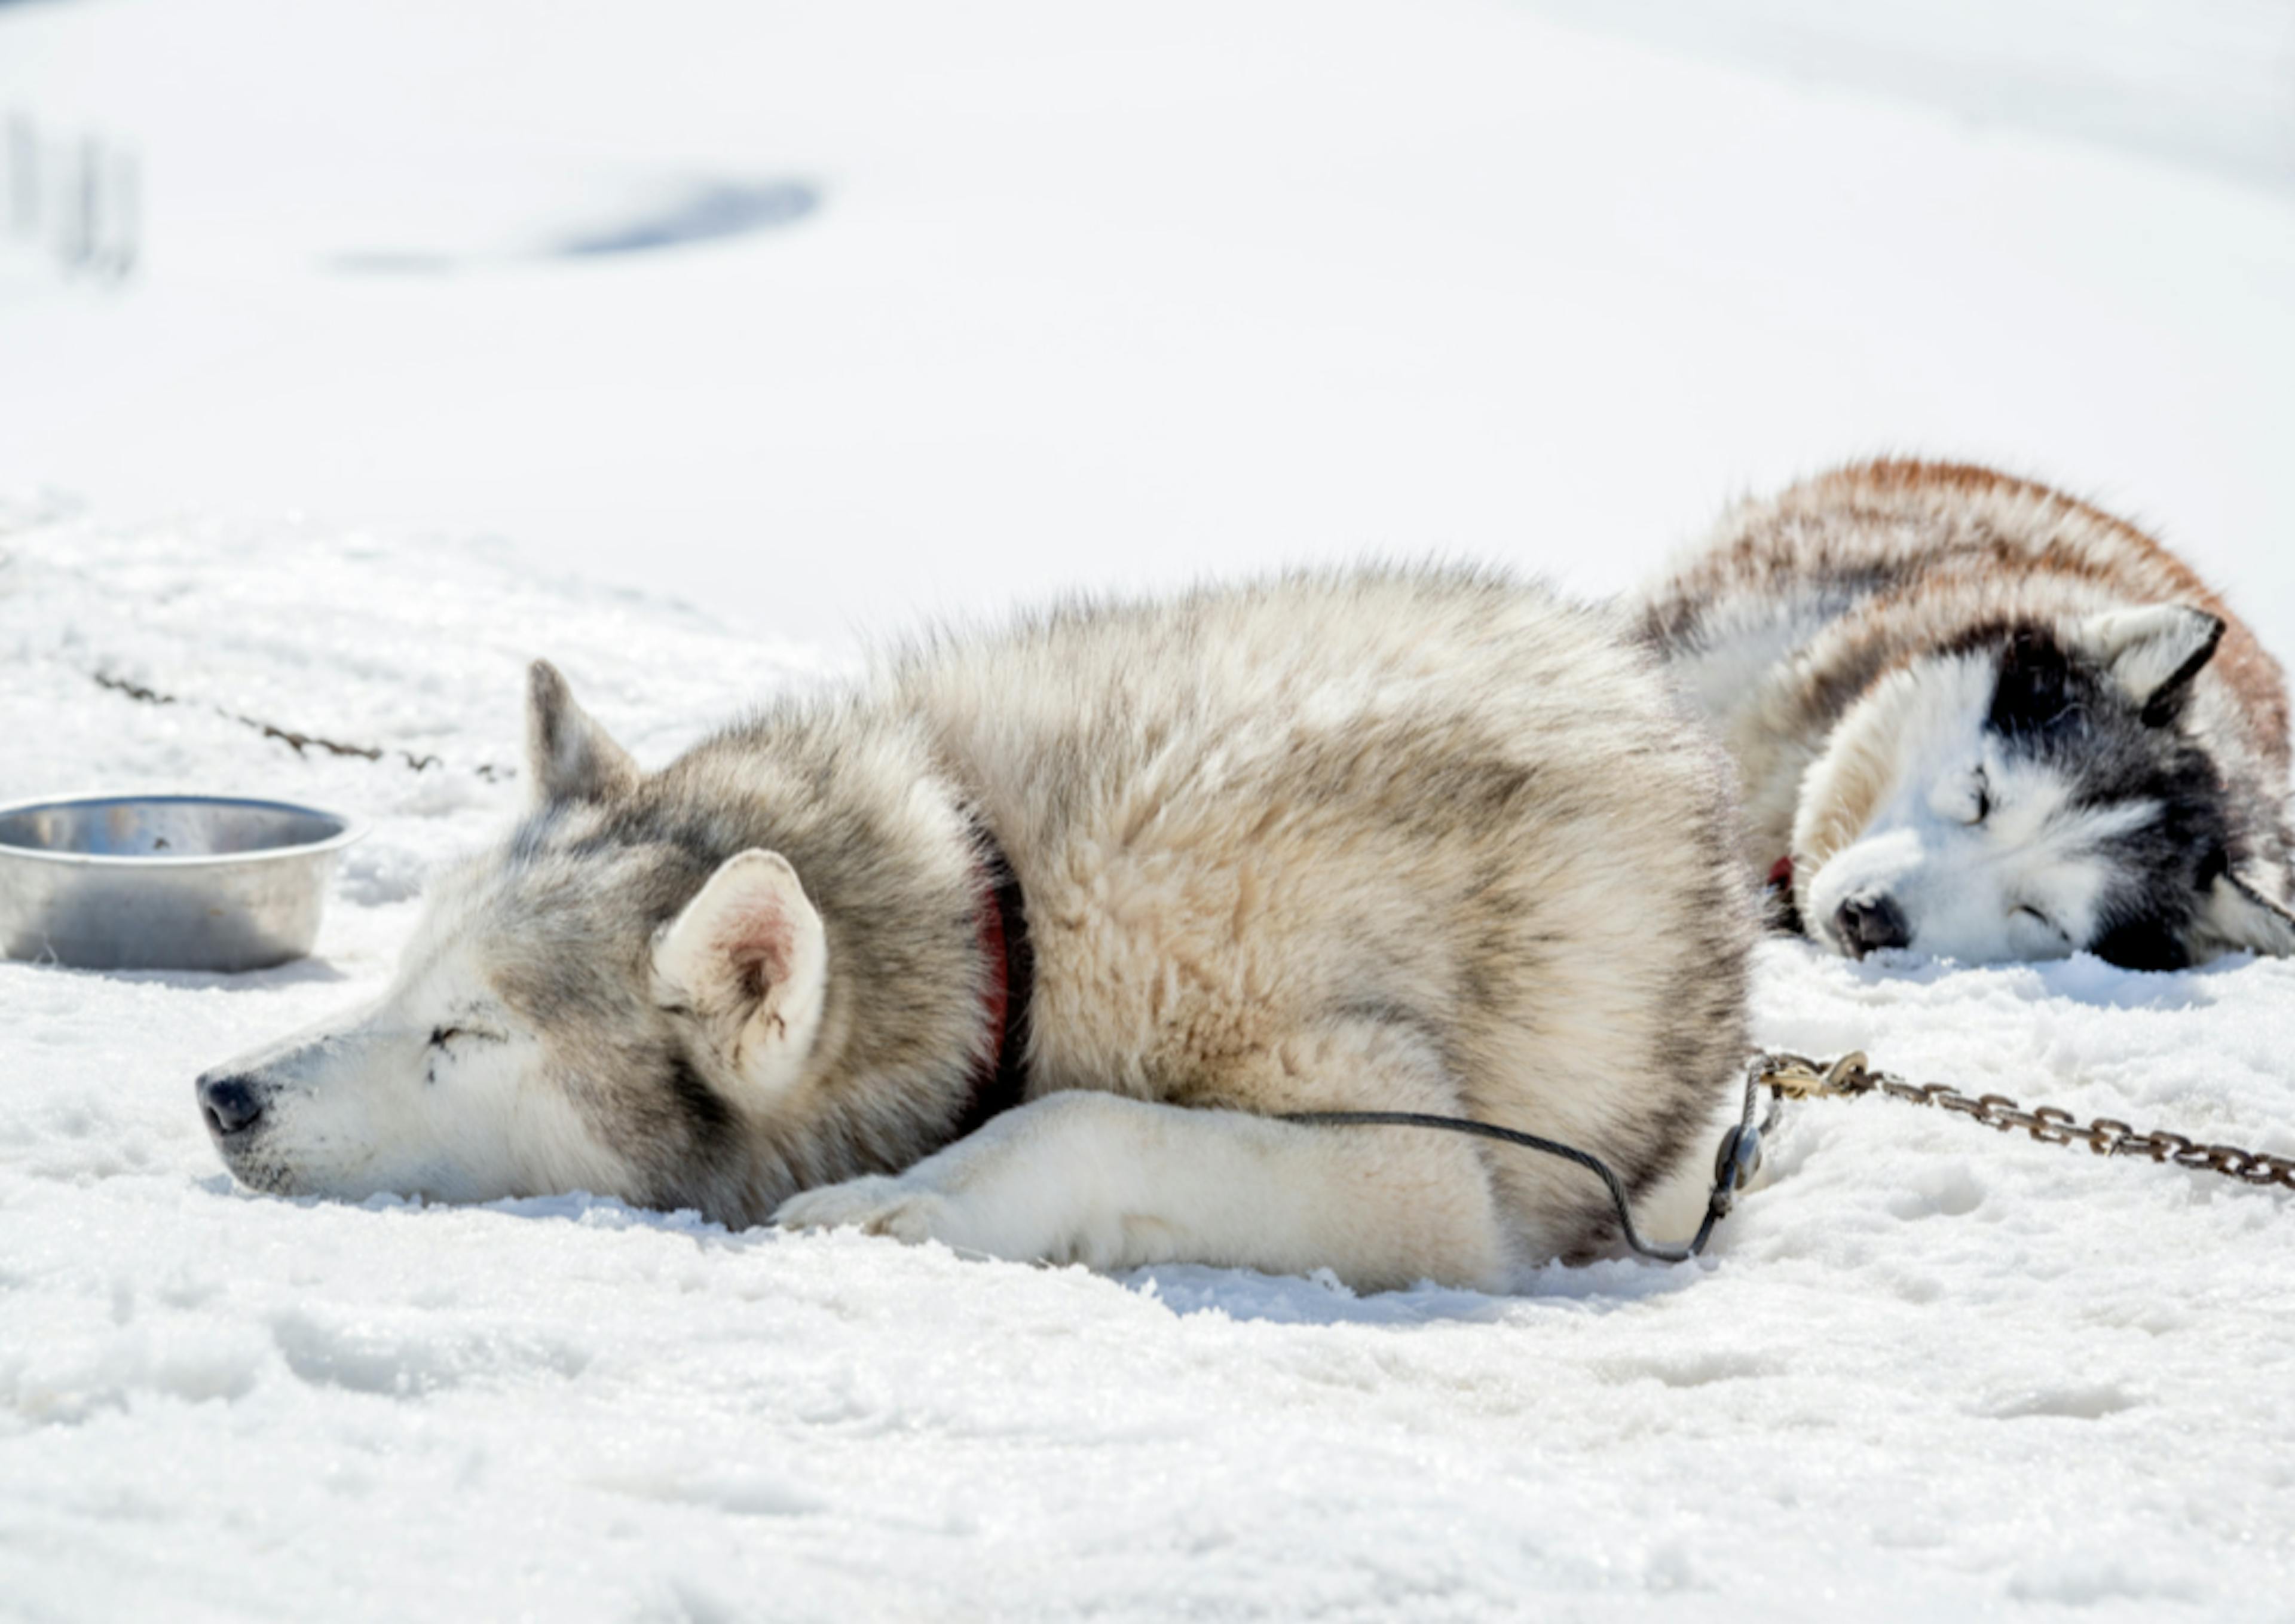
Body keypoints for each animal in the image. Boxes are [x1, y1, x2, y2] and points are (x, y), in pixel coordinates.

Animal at [197, 571, 1744, 1293]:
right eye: (404, 977)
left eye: (466, 1032)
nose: (221, 1090)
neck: (1009, 918)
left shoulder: (1414, 1170)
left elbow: (1081, 1118)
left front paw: (917, 1202)